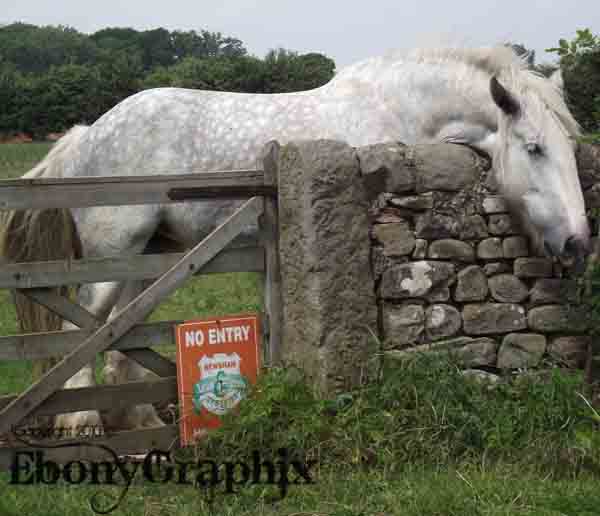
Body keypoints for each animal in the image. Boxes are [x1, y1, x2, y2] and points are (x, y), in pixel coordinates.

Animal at [0, 45, 590, 433]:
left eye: (570, 146)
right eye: (534, 148)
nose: (579, 244)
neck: (396, 105)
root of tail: (88, 133)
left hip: (151, 259)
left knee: (119, 332)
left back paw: (140, 419)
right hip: (114, 256)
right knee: (82, 330)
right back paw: (82, 421)